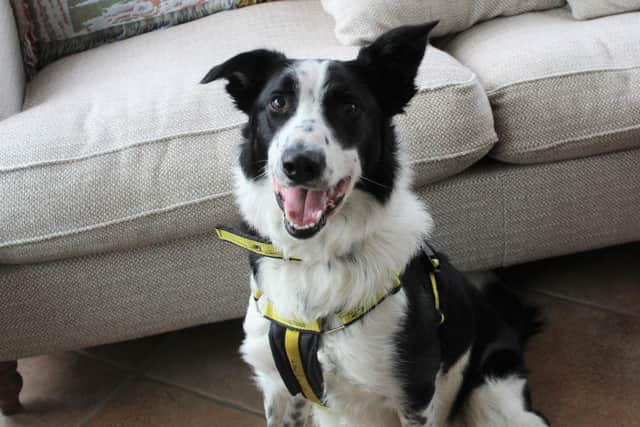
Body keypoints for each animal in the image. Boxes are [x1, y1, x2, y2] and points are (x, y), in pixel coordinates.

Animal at [202, 22, 548, 427]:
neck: (316, 259)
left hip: (499, 399)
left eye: (350, 107)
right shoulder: (280, 388)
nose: (300, 163)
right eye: (277, 103)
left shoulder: (414, 394)